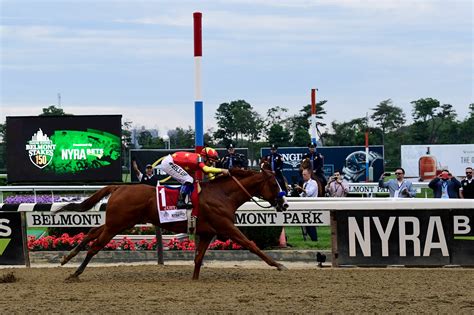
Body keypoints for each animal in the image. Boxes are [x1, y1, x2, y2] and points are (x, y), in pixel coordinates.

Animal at [56, 170, 288, 282]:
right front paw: (278, 265)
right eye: (274, 183)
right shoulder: (226, 227)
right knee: (95, 247)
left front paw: (194, 280)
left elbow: (198, 258)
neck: (222, 194)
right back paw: (75, 273)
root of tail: (119, 187)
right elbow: (251, 245)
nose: (284, 204)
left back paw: (67, 257)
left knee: (92, 232)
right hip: (117, 224)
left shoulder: (207, 233)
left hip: (118, 223)